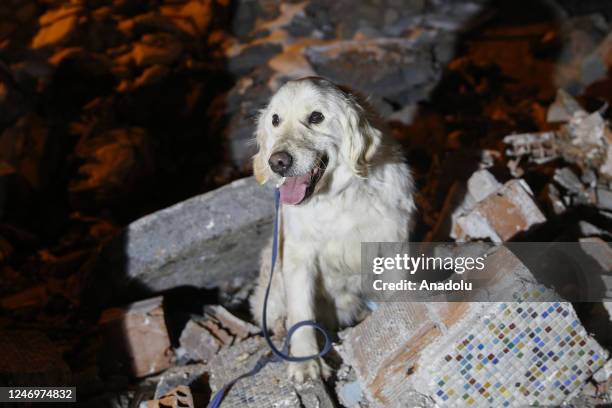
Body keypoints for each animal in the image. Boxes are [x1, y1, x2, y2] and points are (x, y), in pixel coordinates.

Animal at [249, 76, 416, 382]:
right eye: (275, 120)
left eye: (316, 117)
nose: (277, 162)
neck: (338, 196)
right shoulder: (298, 256)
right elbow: (301, 312)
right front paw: (305, 361)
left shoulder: (393, 243)